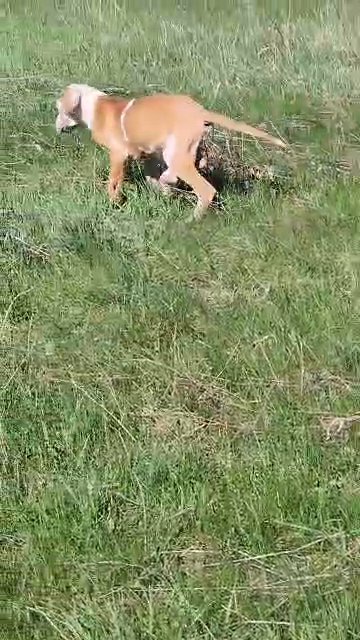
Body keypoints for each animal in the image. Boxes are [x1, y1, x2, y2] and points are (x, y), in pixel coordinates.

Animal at [55, 84, 286, 219]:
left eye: (59, 109)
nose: (56, 126)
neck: (93, 106)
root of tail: (199, 110)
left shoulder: (118, 154)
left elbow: (113, 182)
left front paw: (114, 203)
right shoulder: (148, 154)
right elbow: (150, 177)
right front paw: (161, 190)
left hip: (177, 154)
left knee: (205, 190)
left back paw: (190, 219)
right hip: (179, 150)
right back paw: (169, 182)